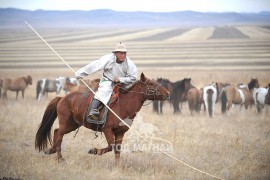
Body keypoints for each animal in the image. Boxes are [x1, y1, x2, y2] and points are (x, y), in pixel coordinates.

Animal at [34, 73, 170, 160]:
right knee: (59, 135)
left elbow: (117, 150)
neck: (123, 105)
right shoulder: (107, 130)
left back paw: (50, 150)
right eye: (151, 83)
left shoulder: (120, 133)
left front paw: (118, 167)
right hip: (65, 122)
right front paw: (94, 150)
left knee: (57, 132)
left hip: (73, 124)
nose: (168, 94)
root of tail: (63, 98)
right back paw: (60, 158)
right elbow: (110, 146)